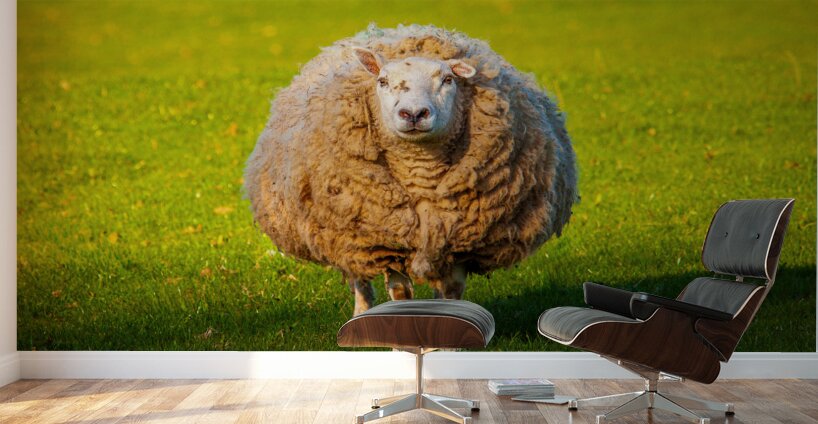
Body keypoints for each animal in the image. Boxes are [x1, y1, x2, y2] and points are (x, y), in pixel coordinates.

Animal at [245, 24, 578, 316]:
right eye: (382, 81)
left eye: (447, 80)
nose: (414, 113)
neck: (420, 172)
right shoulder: (386, 241)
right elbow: (400, 293)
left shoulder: (459, 241)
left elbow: (450, 294)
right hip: (347, 226)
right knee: (357, 275)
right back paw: (359, 315)